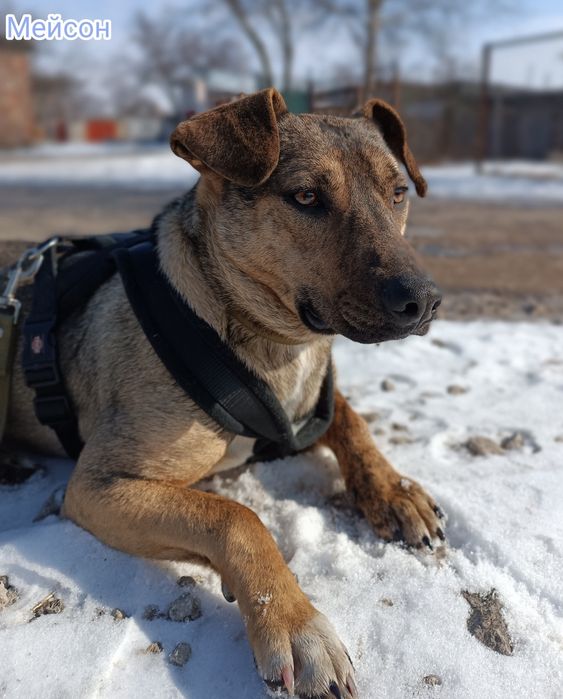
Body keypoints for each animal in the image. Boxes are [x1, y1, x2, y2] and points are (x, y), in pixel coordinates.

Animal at [6, 88, 443, 699]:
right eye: (305, 196)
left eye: (398, 193)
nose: (424, 300)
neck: (275, 343)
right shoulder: (99, 486)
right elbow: (236, 518)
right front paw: (296, 625)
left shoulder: (309, 409)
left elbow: (350, 419)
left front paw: (393, 490)